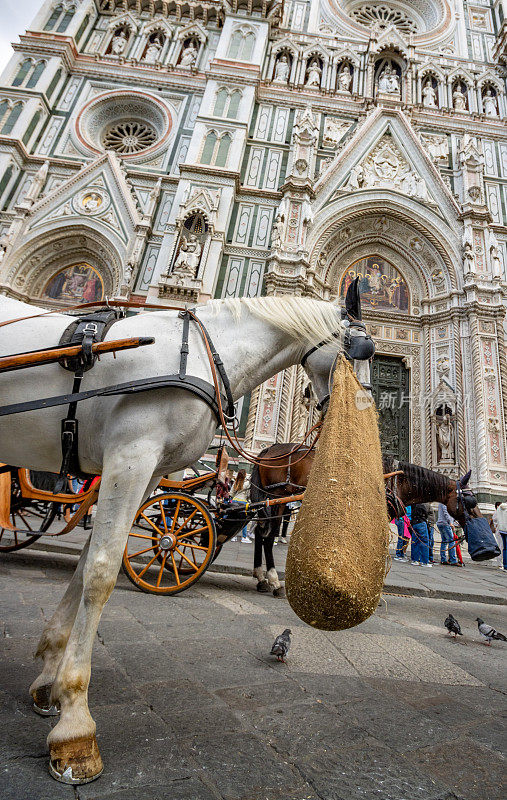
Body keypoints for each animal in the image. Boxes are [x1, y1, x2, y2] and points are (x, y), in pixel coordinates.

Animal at [0, 292, 374, 780]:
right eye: (363, 352)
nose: (363, 419)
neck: (203, 354)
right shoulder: (131, 455)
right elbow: (101, 572)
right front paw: (75, 728)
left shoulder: (146, 470)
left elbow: (85, 567)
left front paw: (48, 683)